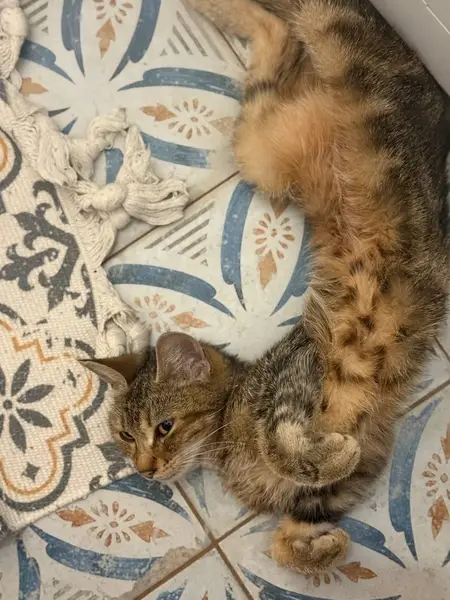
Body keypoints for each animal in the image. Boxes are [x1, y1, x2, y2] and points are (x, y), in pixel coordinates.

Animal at [83, 0, 450, 575]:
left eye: (164, 427)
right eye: (124, 436)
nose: (145, 468)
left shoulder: (300, 373)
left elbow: (287, 450)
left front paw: (327, 458)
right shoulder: (346, 481)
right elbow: (293, 531)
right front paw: (320, 546)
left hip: (338, 50)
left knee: (308, 16)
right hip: (261, 148)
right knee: (274, 36)